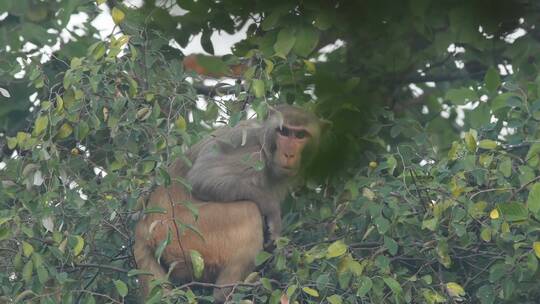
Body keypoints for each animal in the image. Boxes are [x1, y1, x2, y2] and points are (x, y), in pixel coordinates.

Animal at [185, 105, 324, 243]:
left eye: (300, 135)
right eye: (283, 132)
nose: (289, 154)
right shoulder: (248, 148)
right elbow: (202, 177)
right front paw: (272, 210)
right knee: (248, 208)